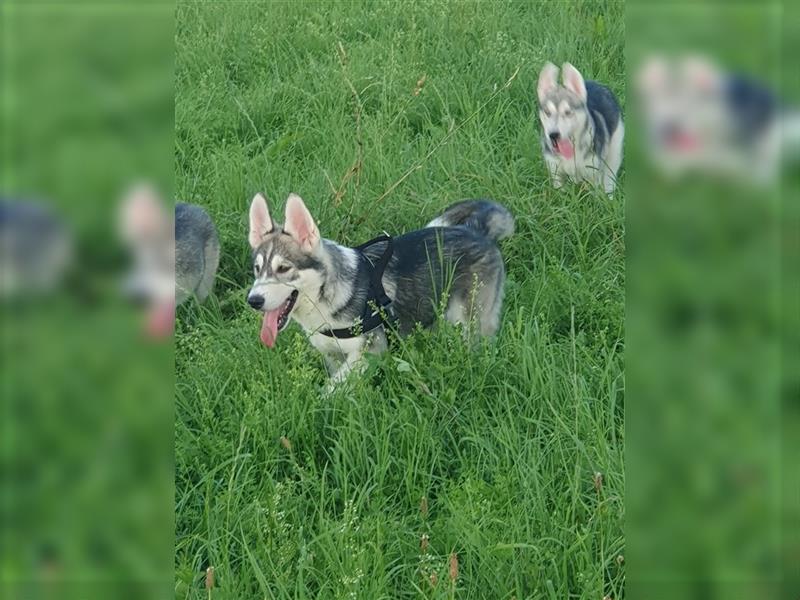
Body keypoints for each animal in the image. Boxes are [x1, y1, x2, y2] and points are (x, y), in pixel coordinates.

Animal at [247, 195, 516, 386]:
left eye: (283, 268)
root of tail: (474, 229)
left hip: (470, 324)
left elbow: (330, 391)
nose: (253, 300)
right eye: (257, 269)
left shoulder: (369, 353)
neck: (326, 299)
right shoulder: (333, 356)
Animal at [536, 61, 624, 193]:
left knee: (610, 173)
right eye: (547, 112)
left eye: (568, 112)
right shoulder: (555, 171)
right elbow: (560, 190)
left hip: (615, 148)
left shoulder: (593, 173)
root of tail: (597, 84)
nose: (553, 135)